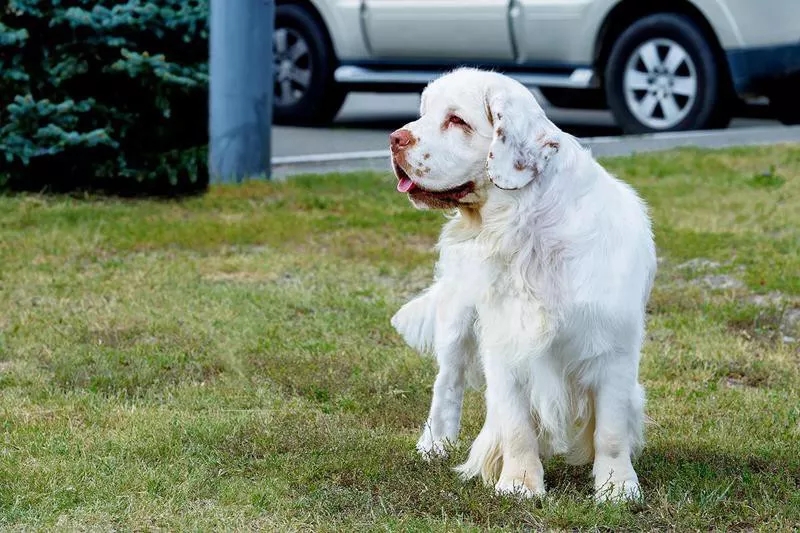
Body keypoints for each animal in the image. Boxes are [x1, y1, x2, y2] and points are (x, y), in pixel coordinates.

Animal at [388, 68, 656, 500]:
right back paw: (435, 445)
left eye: (457, 120)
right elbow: (516, 426)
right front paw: (519, 484)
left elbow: (611, 431)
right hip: (458, 319)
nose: (395, 139)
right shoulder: (506, 342)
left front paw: (617, 488)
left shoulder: (613, 348)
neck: (529, 231)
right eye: (424, 113)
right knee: (447, 382)